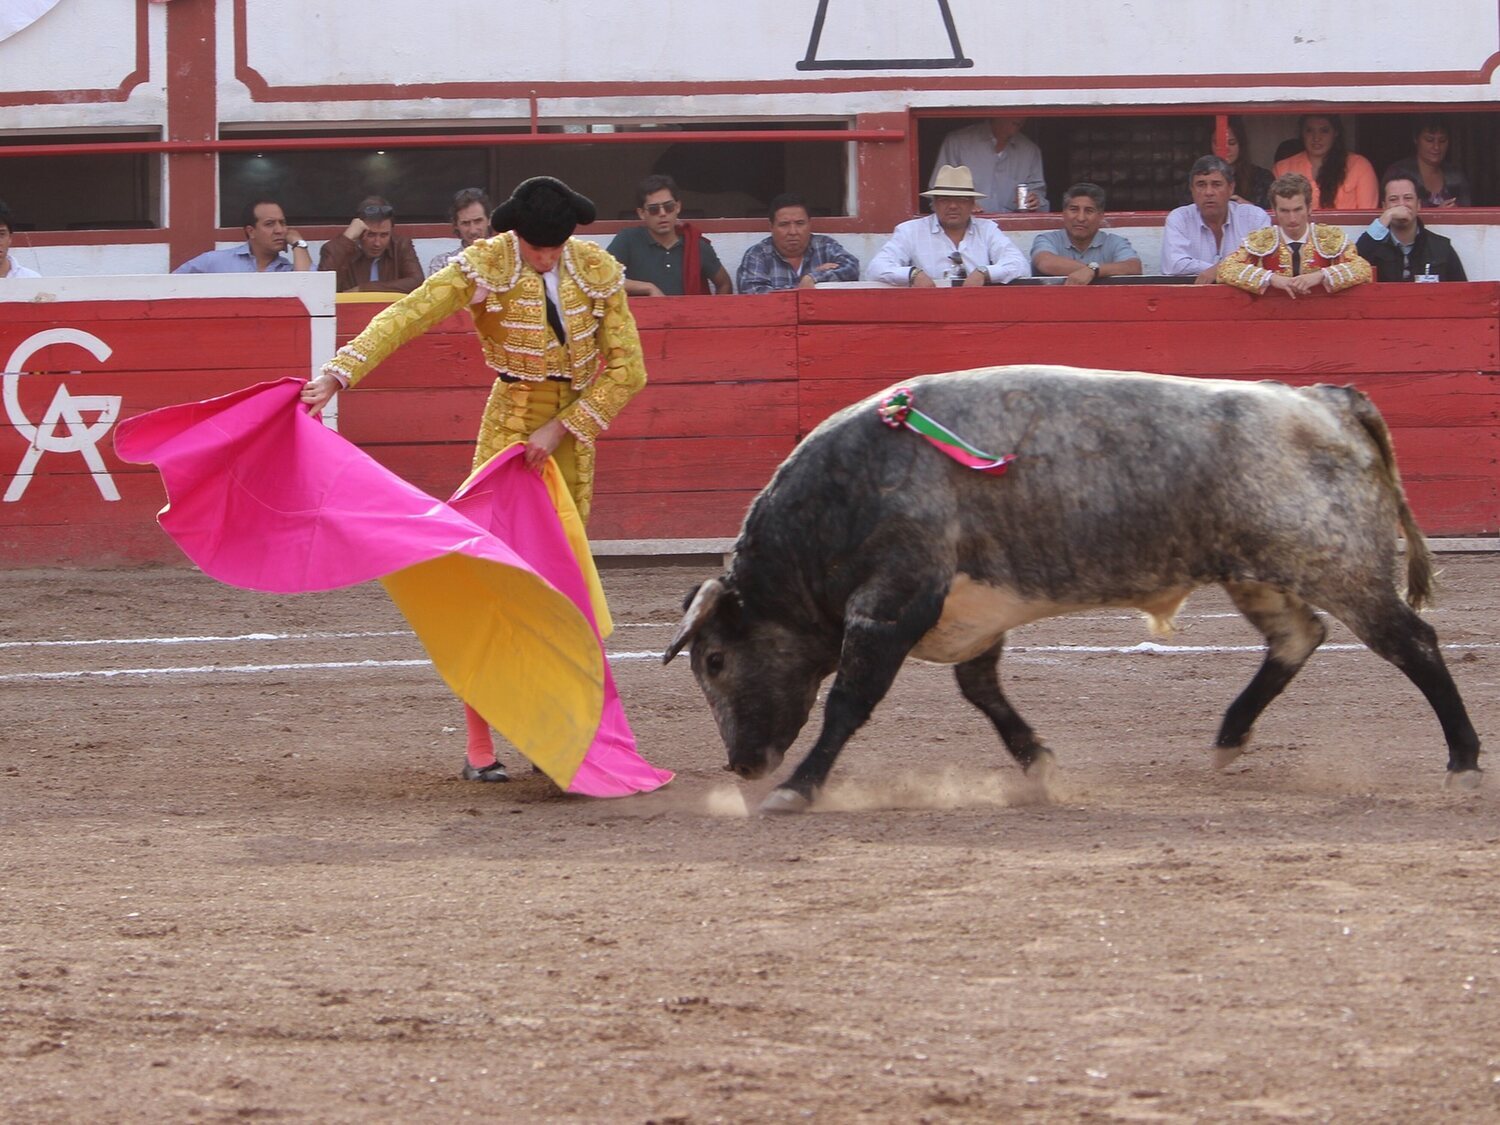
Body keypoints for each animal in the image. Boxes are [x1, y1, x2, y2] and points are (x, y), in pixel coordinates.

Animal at [663, 366, 1482, 816]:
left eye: (714, 660)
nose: (742, 765)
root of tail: (1325, 399)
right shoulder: (969, 610)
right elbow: (982, 690)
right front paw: (1040, 763)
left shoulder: (892, 603)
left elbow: (847, 702)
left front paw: (797, 789)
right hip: (1258, 570)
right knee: (1297, 636)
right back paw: (1227, 738)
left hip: (1336, 563)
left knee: (1412, 643)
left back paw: (1464, 761)